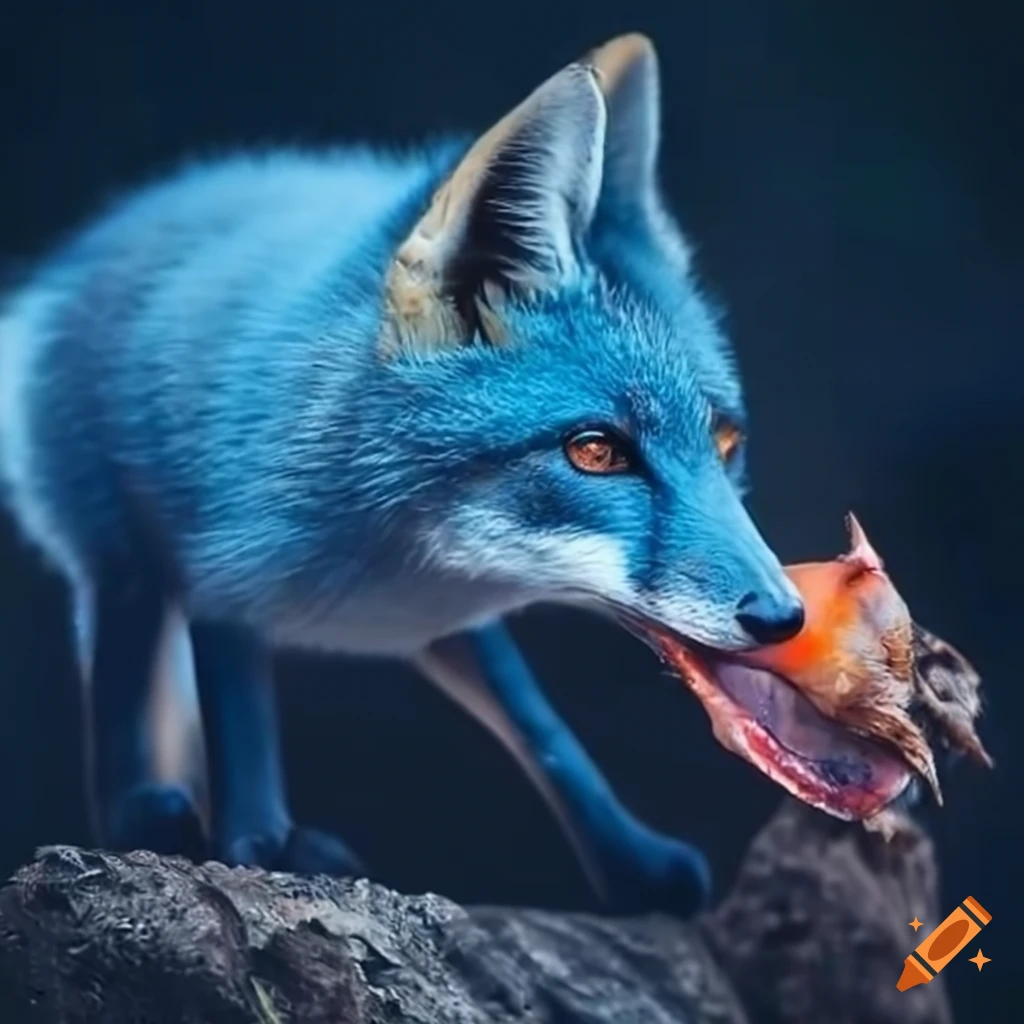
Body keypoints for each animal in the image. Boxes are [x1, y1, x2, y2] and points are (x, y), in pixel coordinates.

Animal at [0, 33, 805, 916]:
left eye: (725, 441)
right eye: (597, 451)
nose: (784, 616)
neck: (397, 562)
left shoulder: (457, 622)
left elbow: (543, 729)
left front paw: (632, 866)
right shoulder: (220, 571)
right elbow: (241, 724)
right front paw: (260, 848)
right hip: (121, 553)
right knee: (121, 670)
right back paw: (142, 817)